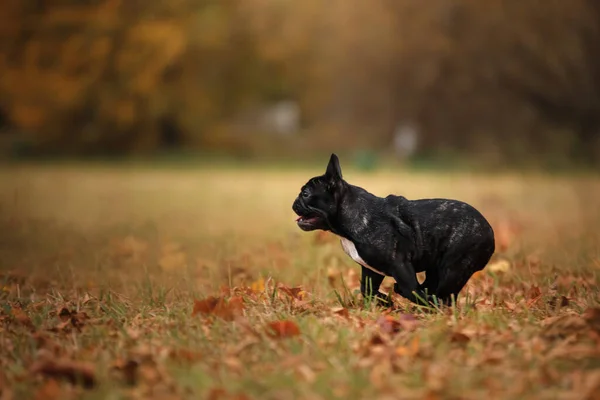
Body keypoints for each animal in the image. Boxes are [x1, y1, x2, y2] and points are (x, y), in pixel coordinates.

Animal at [292, 155, 494, 304]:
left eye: (305, 194)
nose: (294, 202)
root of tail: (490, 232)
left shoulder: (400, 264)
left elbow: (412, 290)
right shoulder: (370, 270)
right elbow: (367, 290)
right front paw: (385, 302)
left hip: (453, 269)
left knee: (442, 295)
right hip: (436, 266)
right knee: (434, 288)